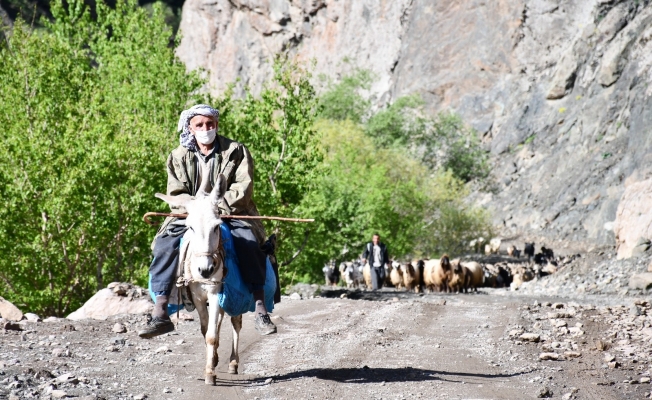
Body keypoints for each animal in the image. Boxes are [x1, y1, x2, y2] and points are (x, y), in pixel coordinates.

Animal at [155, 173, 242, 386]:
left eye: (216, 227)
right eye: (190, 227)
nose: (205, 270)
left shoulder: (216, 291)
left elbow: (212, 335)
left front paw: (210, 373)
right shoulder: (197, 297)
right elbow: (206, 330)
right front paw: (211, 364)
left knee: (236, 322)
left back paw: (233, 362)